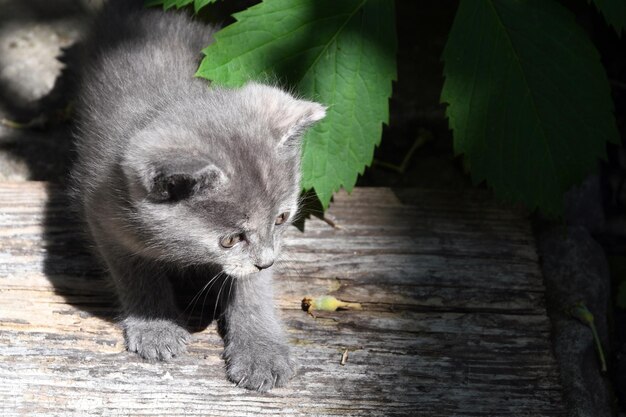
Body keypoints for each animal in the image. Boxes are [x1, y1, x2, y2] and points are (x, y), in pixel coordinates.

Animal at [72, 0, 324, 390]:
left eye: (282, 218)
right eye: (230, 239)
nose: (267, 261)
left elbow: (252, 288)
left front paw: (261, 351)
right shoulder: (103, 215)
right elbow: (134, 271)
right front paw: (155, 326)